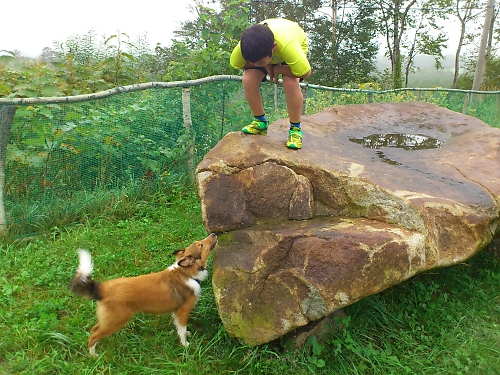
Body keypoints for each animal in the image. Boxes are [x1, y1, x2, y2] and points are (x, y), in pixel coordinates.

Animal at [70, 234, 217, 356]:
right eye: (201, 245)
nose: (214, 234)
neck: (186, 273)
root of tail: (103, 288)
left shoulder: (177, 313)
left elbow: (181, 328)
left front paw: (187, 334)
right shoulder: (182, 311)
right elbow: (181, 329)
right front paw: (185, 345)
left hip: (109, 320)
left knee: (94, 329)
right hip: (115, 322)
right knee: (92, 337)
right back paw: (94, 356)